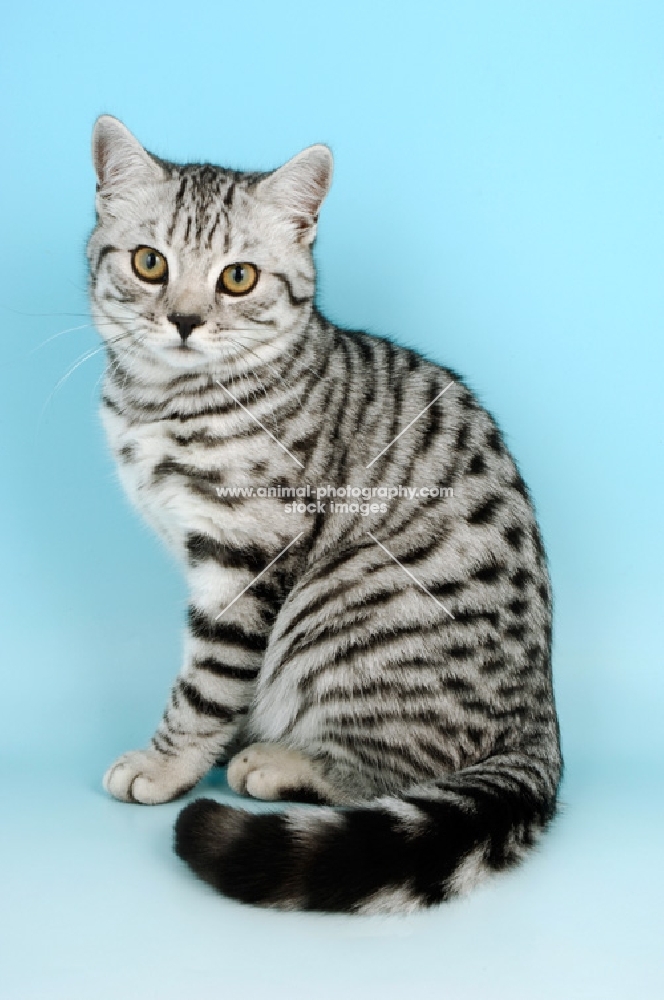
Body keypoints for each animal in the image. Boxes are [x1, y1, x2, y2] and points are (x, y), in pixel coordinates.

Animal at [87, 115, 560, 916]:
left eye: (237, 277)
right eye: (150, 264)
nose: (183, 320)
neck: (164, 403)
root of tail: (542, 727)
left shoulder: (247, 556)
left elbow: (206, 680)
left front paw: (168, 761)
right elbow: (227, 681)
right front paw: (211, 737)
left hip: (345, 615)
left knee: (388, 773)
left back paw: (281, 761)